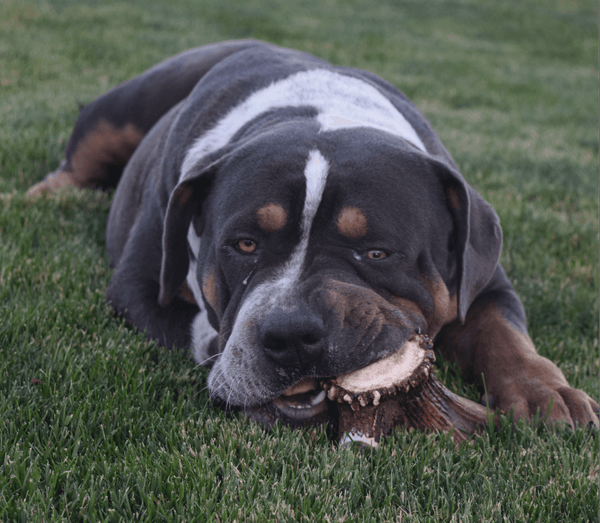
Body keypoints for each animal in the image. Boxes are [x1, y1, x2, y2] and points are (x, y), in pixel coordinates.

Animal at [29, 41, 600, 432]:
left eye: (377, 252)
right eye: (245, 245)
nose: (290, 334)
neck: (314, 108)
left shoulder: (485, 277)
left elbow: (503, 334)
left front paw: (547, 394)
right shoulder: (139, 287)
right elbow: (192, 326)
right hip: (124, 107)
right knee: (78, 157)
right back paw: (41, 196)